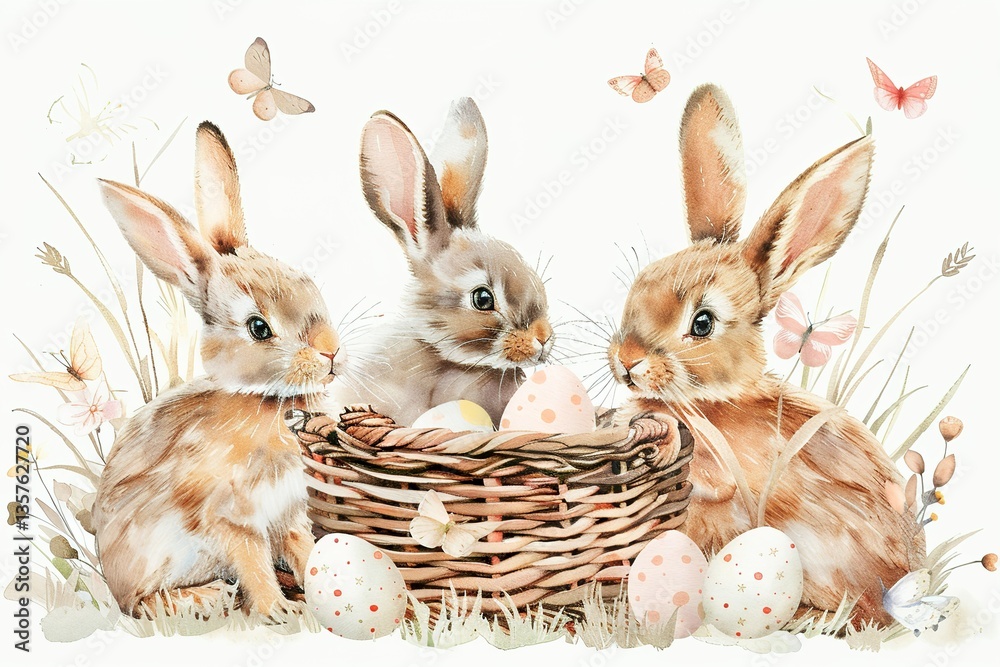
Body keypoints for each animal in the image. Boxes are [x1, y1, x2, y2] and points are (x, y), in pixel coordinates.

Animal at [93, 121, 344, 618]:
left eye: (306, 281)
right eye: (258, 327)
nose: (331, 352)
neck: (264, 402)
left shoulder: (288, 514)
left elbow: (303, 549)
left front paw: (315, 591)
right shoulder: (230, 516)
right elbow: (252, 562)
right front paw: (277, 611)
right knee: (141, 604)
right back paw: (204, 596)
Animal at [608, 84, 924, 626]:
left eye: (703, 323)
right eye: (637, 287)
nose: (627, 361)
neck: (718, 398)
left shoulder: (724, 467)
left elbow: (704, 470)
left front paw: (659, 431)